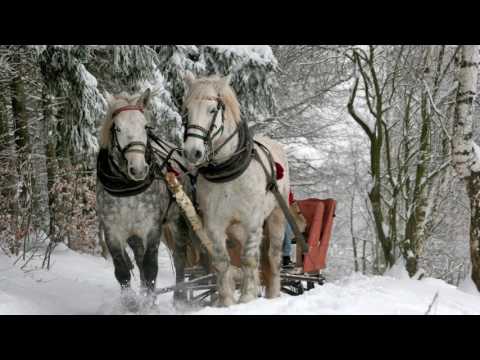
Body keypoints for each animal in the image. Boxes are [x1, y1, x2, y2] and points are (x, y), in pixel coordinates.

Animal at [183, 71, 288, 306]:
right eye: (186, 110)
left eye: (212, 110)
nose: (192, 152)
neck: (227, 172)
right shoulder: (214, 224)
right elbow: (222, 261)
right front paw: (227, 301)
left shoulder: (253, 221)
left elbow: (249, 259)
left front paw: (247, 297)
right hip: (236, 228)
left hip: (276, 215)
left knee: (273, 257)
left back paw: (273, 294)